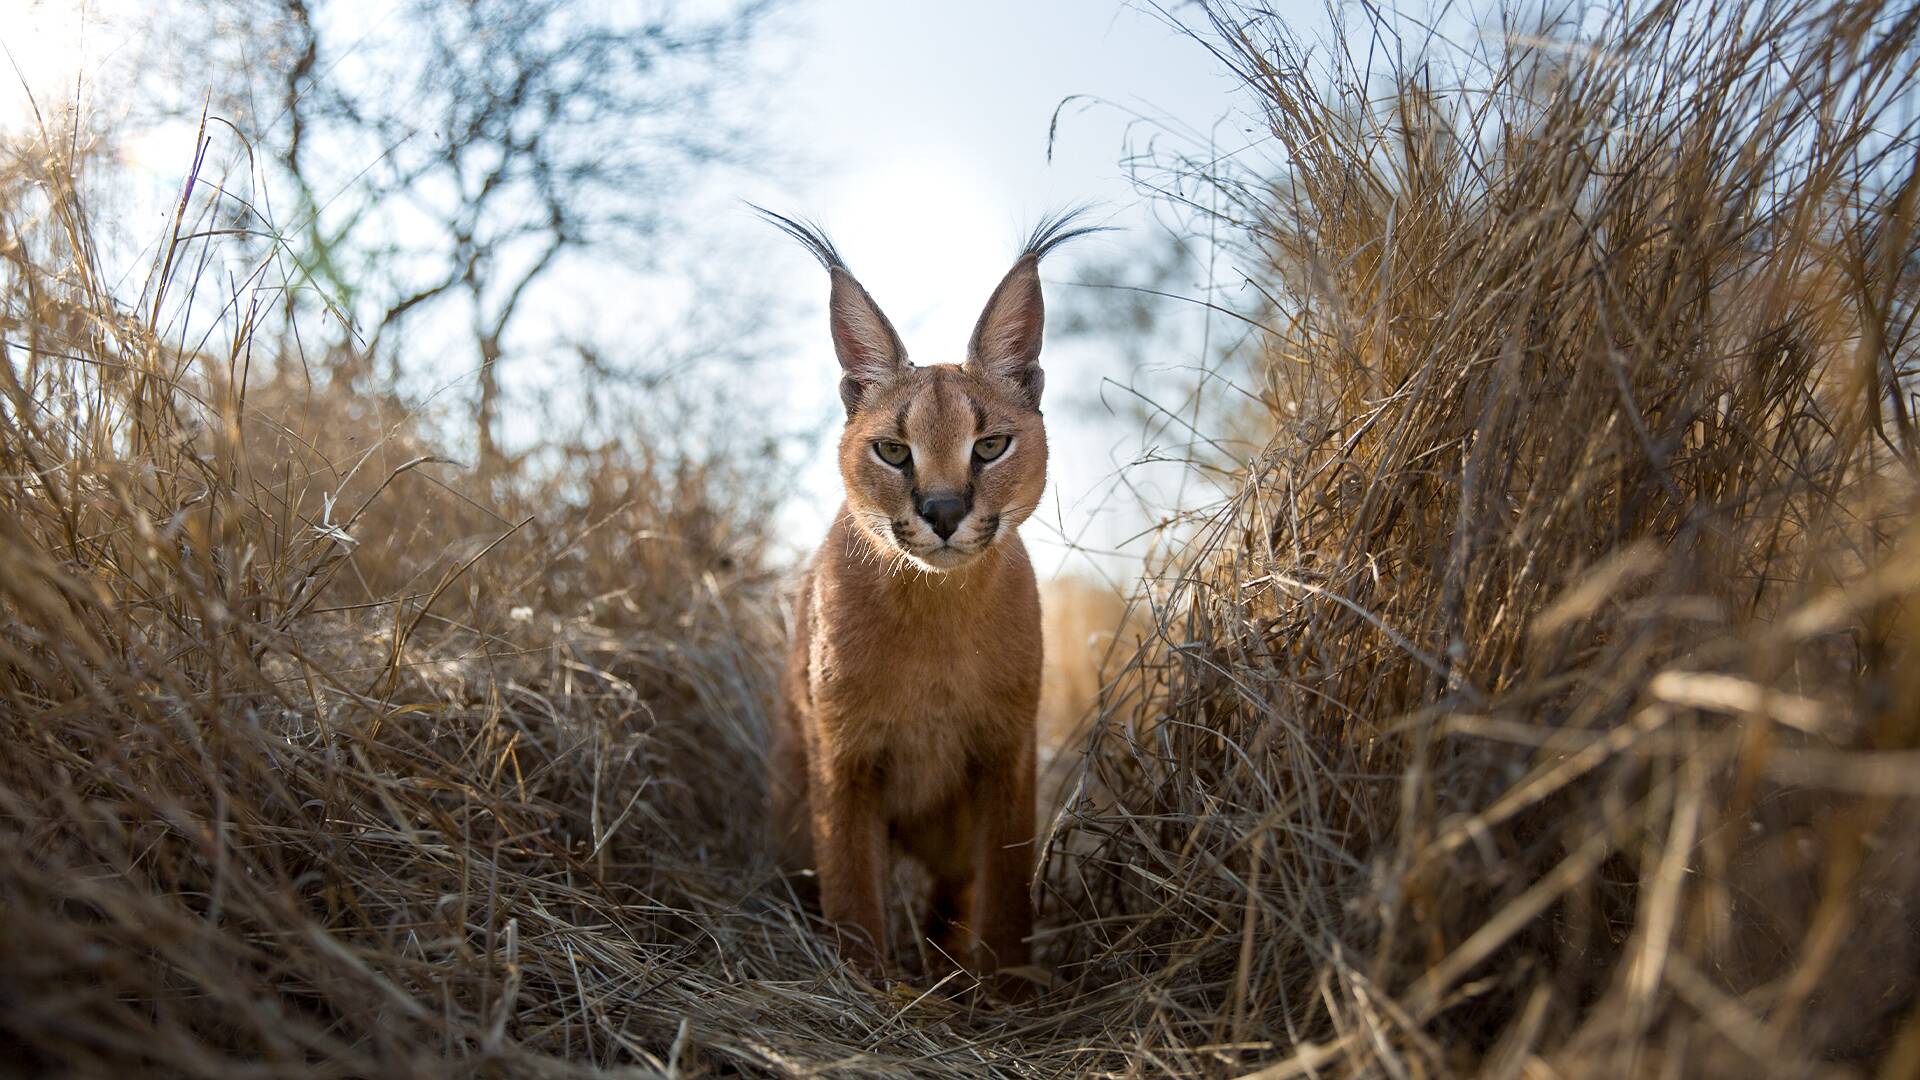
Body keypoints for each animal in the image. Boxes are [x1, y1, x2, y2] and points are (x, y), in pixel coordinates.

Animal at [756, 205, 1105, 980]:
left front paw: (1005, 989)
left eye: (990, 445)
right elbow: (853, 891)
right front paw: (863, 989)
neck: (935, 619)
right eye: (892, 450)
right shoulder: (844, 759)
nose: (943, 511)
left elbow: (1006, 888)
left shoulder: (1007, 752)